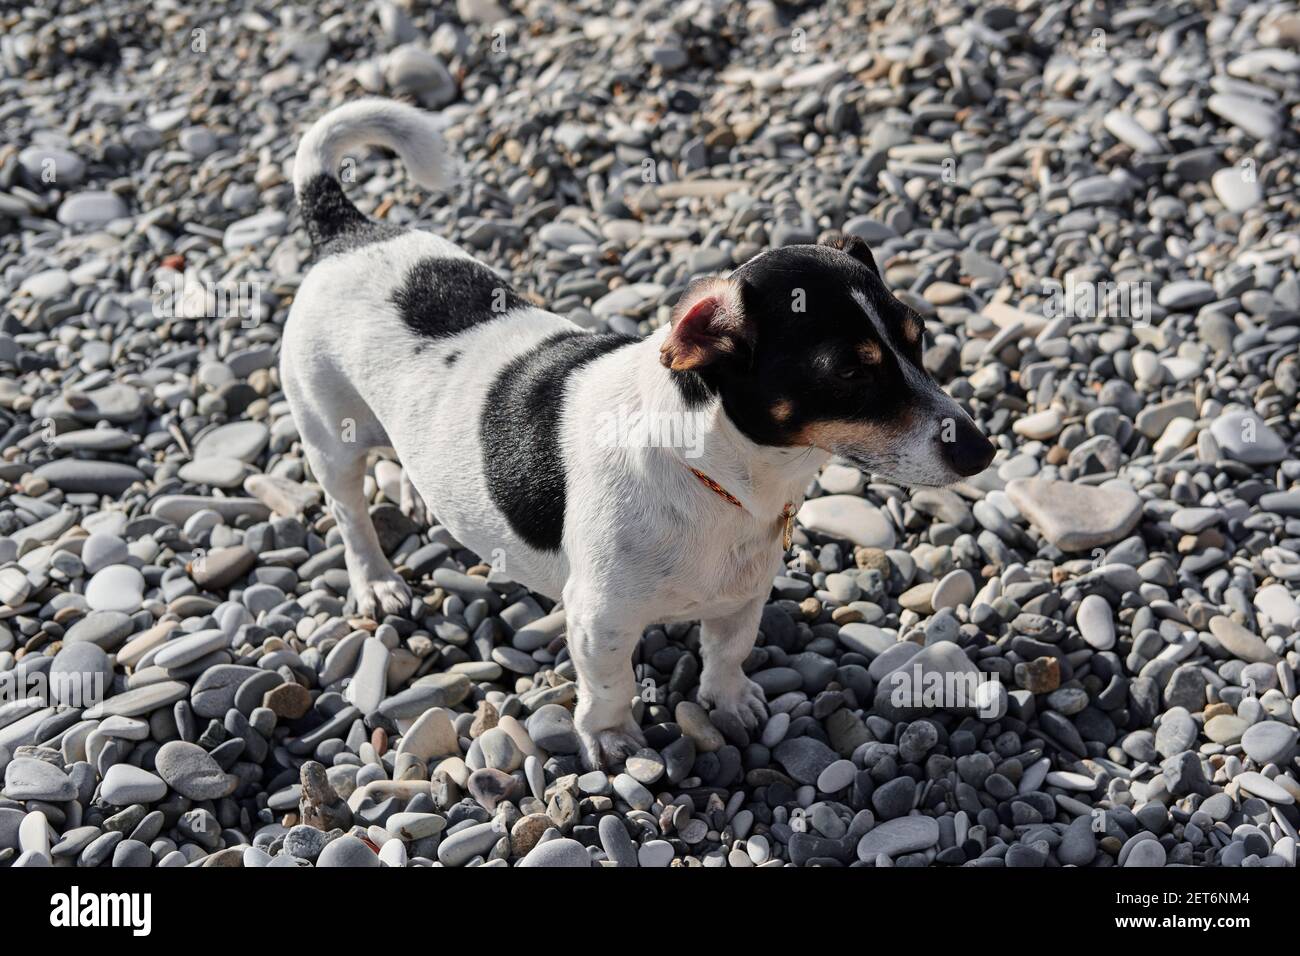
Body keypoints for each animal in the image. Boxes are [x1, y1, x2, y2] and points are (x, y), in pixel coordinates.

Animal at [284, 98, 993, 770]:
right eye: (848, 371)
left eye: (917, 336)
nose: (983, 451)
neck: (716, 476)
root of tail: (349, 229)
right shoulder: (599, 618)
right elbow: (611, 686)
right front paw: (613, 742)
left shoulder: (742, 597)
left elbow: (728, 654)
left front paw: (731, 703)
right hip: (328, 435)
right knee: (349, 515)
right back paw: (376, 580)